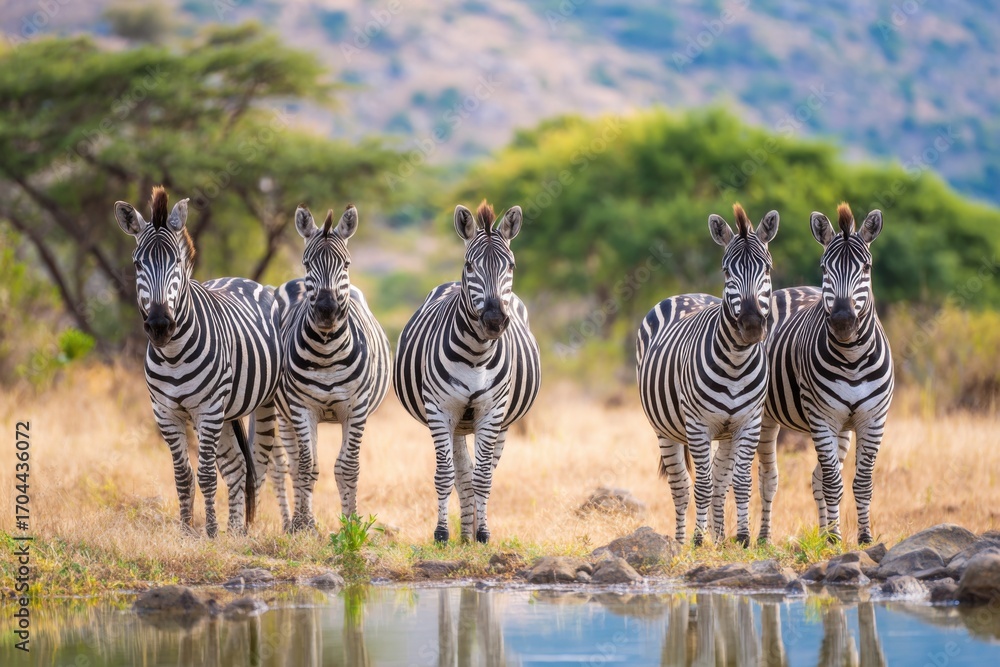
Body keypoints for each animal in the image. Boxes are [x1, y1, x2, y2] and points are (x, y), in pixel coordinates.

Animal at [114, 186, 281, 537]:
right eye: (137, 264)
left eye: (176, 261)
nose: (159, 325)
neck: (173, 354)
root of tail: (243, 279)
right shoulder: (165, 413)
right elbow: (183, 475)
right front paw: (187, 531)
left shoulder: (208, 409)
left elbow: (206, 475)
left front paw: (211, 534)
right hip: (227, 413)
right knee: (236, 467)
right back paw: (235, 531)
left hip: (263, 403)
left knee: (260, 464)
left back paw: (251, 530)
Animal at [271, 204, 392, 532]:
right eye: (307, 262)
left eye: (346, 263)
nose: (327, 310)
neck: (326, 352)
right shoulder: (302, 407)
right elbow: (306, 466)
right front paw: (305, 526)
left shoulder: (356, 409)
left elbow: (347, 468)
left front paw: (351, 526)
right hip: (283, 413)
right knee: (293, 463)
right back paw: (294, 523)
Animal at [394, 201, 541, 544]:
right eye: (470, 265)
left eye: (511, 266)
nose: (495, 320)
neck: (477, 354)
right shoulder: (440, 410)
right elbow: (446, 475)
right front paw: (442, 533)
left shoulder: (492, 410)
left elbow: (483, 476)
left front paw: (483, 534)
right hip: (457, 423)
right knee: (461, 473)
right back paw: (463, 533)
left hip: (500, 423)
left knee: (479, 473)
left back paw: (472, 532)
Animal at [636, 204, 779, 546]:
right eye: (727, 271)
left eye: (767, 269)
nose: (752, 324)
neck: (737, 362)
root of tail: (688, 294)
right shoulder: (698, 424)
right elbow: (700, 484)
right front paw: (698, 540)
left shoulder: (749, 422)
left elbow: (739, 481)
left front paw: (742, 538)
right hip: (665, 430)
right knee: (681, 485)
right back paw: (681, 541)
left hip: (725, 433)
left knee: (720, 481)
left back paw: (719, 538)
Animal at [757, 203, 893, 544]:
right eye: (824, 268)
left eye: (867, 268)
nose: (843, 320)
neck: (853, 359)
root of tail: (787, 290)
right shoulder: (822, 418)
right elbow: (833, 483)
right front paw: (834, 541)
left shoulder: (873, 419)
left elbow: (861, 482)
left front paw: (861, 538)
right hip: (765, 417)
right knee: (768, 478)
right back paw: (763, 538)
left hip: (842, 427)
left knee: (816, 477)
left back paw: (824, 532)